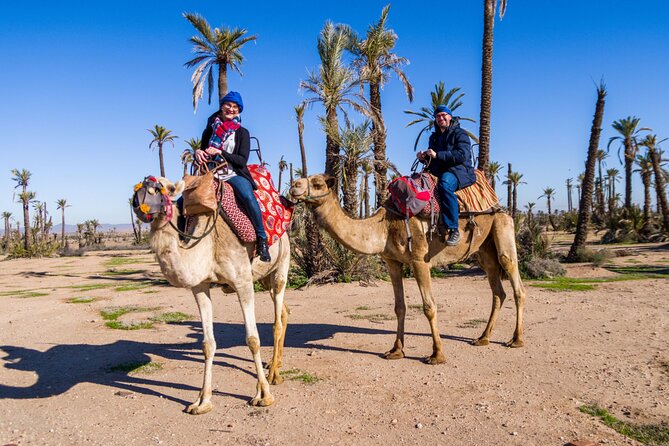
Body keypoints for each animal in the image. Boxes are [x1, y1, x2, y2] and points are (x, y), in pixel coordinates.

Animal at [133, 177, 290, 414]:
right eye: (137, 187)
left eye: (164, 189)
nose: (137, 203)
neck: (209, 244)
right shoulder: (200, 286)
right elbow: (207, 344)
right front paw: (202, 402)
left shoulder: (243, 282)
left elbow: (252, 339)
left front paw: (263, 395)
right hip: (264, 277)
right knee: (284, 312)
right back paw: (275, 365)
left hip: (282, 263)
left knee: (277, 320)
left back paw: (273, 375)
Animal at [289, 175, 525, 364]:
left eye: (317, 183)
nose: (294, 185)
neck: (384, 227)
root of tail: (499, 205)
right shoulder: (392, 261)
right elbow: (399, 307)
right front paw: (396, 350)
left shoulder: (420, 260)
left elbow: (429, 306)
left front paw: (437, 355)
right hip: (484, 250)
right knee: (498, 290)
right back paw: (483, 338)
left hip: (503, 228)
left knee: (514, 279)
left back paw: (516, 339)